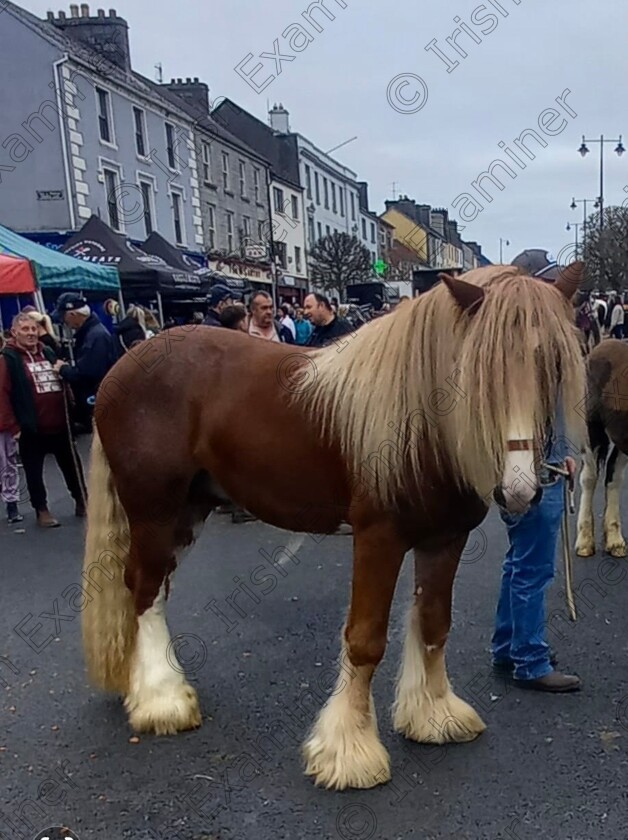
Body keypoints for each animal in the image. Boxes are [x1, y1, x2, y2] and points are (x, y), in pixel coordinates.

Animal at [81, 262, 588, 788]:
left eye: (554, 363)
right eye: (477, 372)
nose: (519, 490)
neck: (423, 428)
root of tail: (123, 365)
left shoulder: (445, 539)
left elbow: (434, 625)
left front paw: (434, 716)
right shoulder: (378, 538)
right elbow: (365, 641)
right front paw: (349, 751)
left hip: (188, 510)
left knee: (156, 587)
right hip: (154, 509)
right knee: (143, 588)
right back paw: (162, 700)